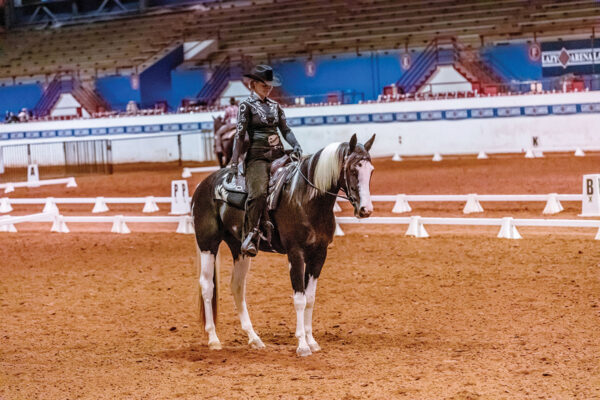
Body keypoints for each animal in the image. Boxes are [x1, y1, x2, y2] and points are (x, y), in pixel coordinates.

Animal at [192, 134, 376, 356]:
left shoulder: (319, 254)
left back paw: (254, 338)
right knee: (206, 285)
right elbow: (299, 298)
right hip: (207, 244)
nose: (366, 210)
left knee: (237, 286)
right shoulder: (295, 253)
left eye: (371, 170)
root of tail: (204, 184)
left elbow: (310, 298)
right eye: (353, 170)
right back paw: (213, 339)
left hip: (240, 249)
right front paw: (302, 345)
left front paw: (312, 341)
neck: (304, 197)